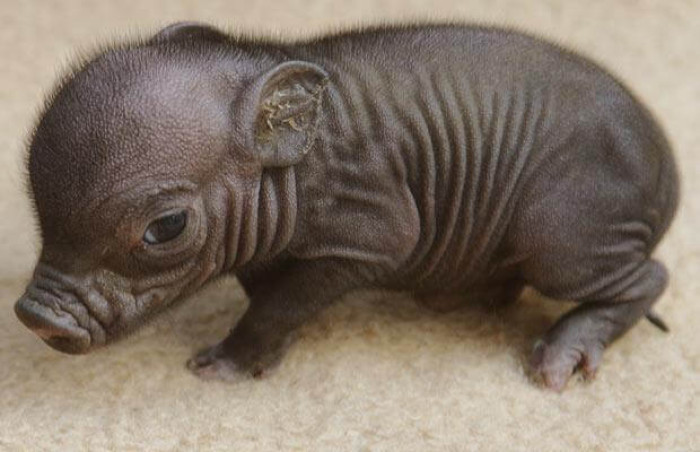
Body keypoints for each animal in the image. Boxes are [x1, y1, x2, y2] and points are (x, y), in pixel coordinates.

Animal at [14, 22, 679, 391]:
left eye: (166, 227)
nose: (38, 317)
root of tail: (669, 175)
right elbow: (264, 287)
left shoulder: (370, 234)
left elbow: (281, 304)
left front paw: (224, 367)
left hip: (566, 232)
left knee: (647, 277)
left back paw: (561, 355)